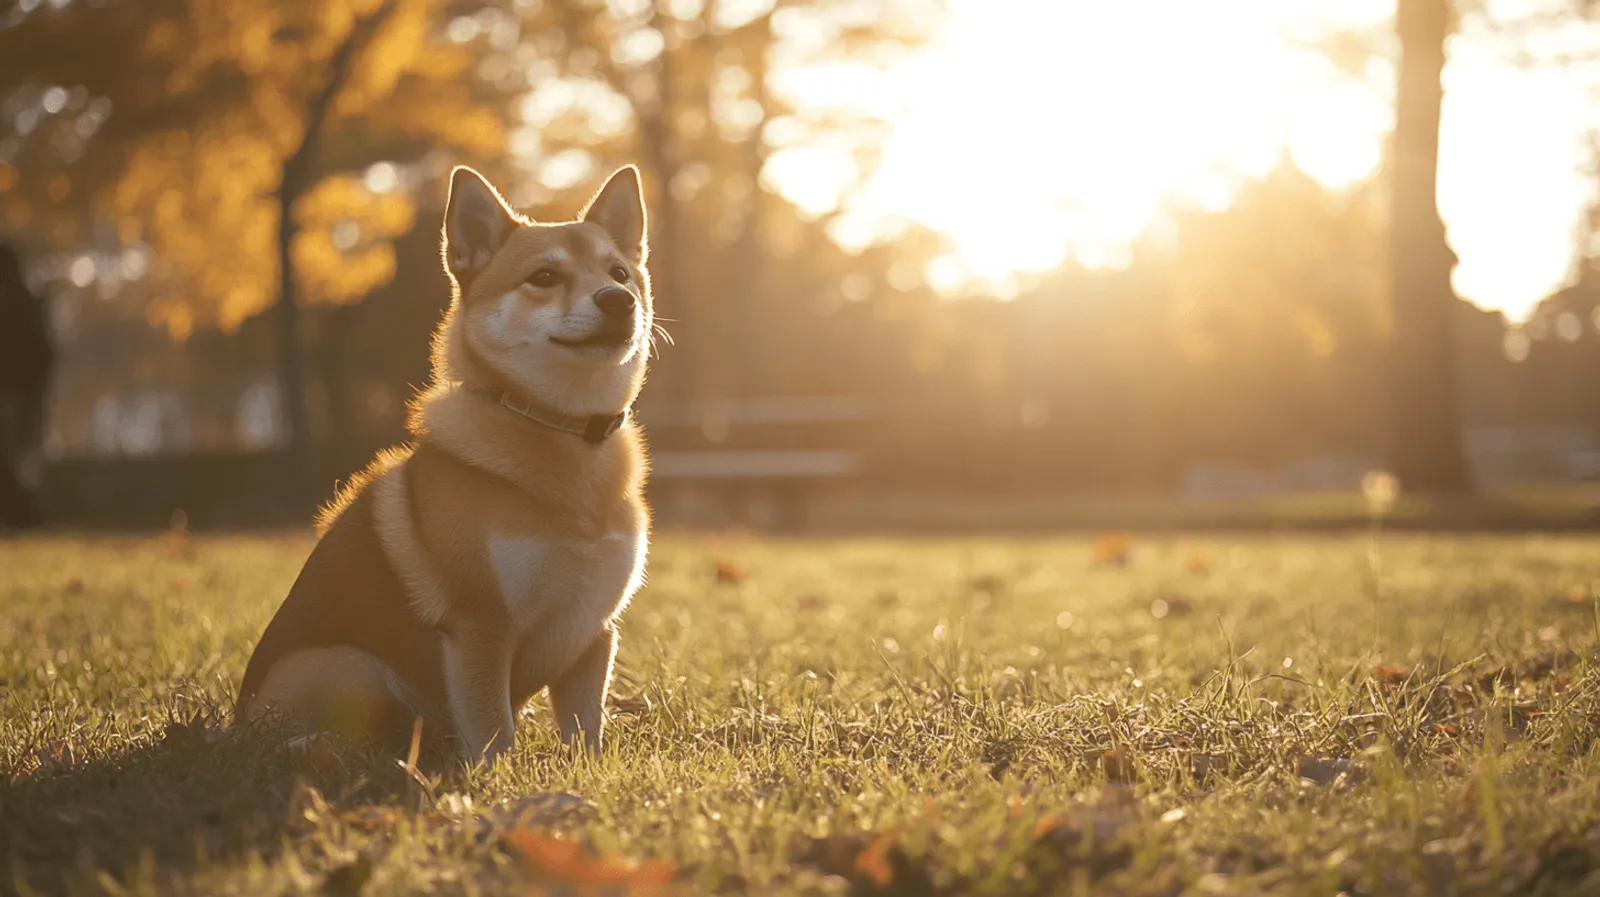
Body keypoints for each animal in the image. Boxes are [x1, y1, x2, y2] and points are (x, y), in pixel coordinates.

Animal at [233, 162, 656, 761]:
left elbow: (584, 727)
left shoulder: (593, 629)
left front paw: (590, 772)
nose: (619, 299)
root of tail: (236, 720)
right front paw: (497, 776)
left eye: (620, 271)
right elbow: (493, 728)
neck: (560, 432)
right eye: (544, 276)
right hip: (354, 670)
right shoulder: (480, 625)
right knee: (309, 740)